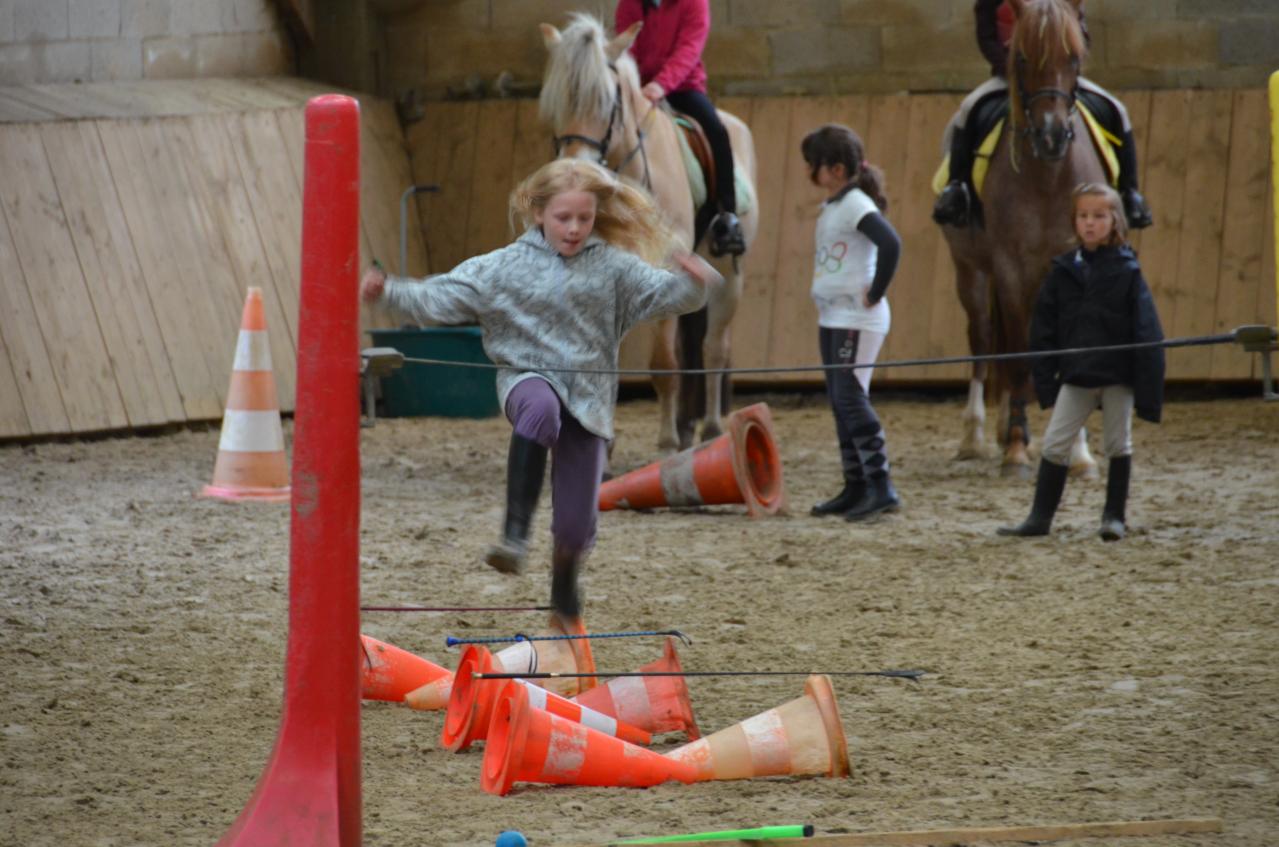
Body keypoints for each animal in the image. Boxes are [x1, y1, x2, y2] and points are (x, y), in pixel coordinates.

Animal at [534, 9, 752, 455]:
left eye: (607, 101)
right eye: (556, 102)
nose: (576, 169)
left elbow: (664, 363)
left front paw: (667, 443)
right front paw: (604, 443)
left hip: (729, 274)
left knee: (714, 348)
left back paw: (709, 430)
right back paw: (688, 427)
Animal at [941, 0, 1099, 478]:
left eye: (1074, 57)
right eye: (1023, 58)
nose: (1051, 135)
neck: (1047, 175)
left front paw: (1079, 453)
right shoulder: (1009, 266)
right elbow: (1014, 352)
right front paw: (1014, 447)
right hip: (971, 270)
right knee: (983, 339)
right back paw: (977, 436)